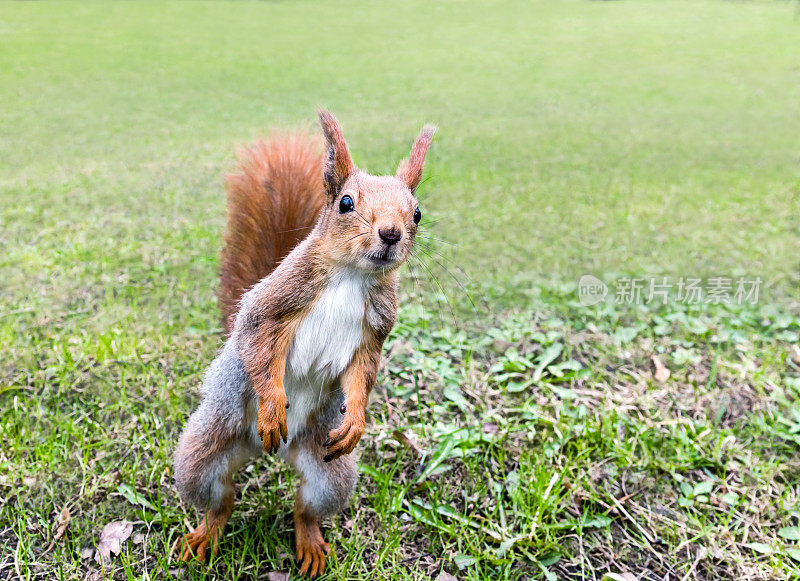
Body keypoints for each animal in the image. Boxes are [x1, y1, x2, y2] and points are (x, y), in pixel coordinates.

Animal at [174, 110, 434, 576]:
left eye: (418, 213)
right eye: (345, 202)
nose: (391, 234)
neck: (352, 276)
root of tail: (269, 452)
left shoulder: (375, 330)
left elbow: (362, 374)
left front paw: (357, 420)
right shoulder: (273, 304)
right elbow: (258, 345)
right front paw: (274, 406)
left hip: (329, 471)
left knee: (305, 507)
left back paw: (310, 541)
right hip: (203, 452)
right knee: (220, 499)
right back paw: (207, 532)